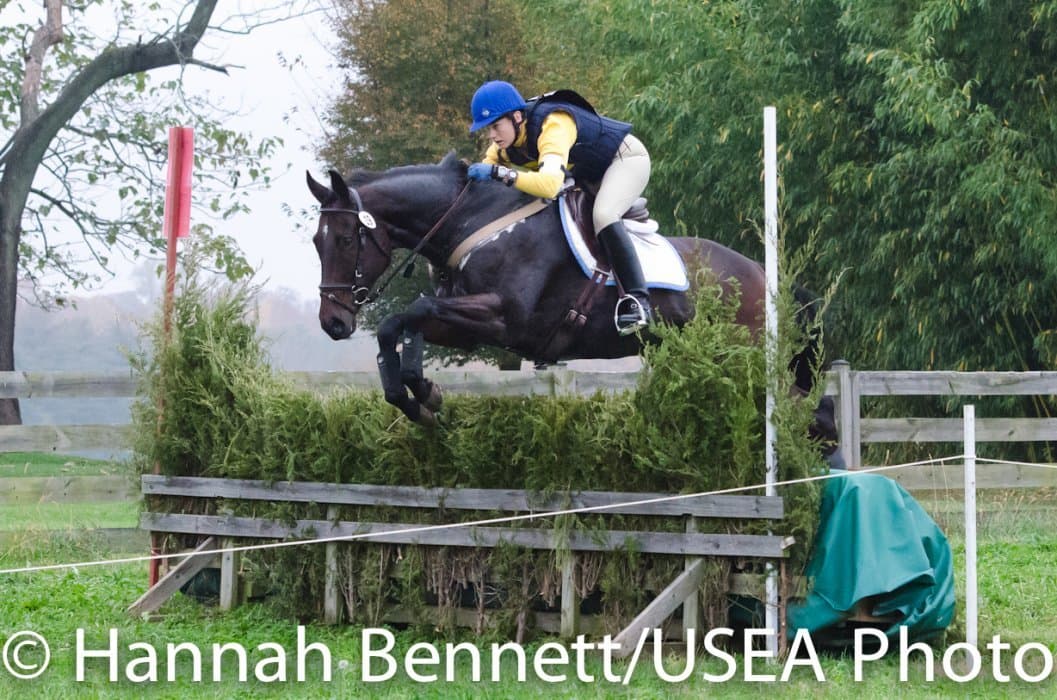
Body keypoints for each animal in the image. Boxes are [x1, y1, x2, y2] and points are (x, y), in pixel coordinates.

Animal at [307, 152, 823, 427]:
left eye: (347, 239)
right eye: (316, 241)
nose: (333, 323)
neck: (472, 221)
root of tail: (765, 275)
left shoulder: (504, 319)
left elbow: (412, 311)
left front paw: (424, 393)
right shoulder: (468, 326)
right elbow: (399, 325)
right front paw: (418, 399)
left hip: (744, 354)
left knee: (803, 405)